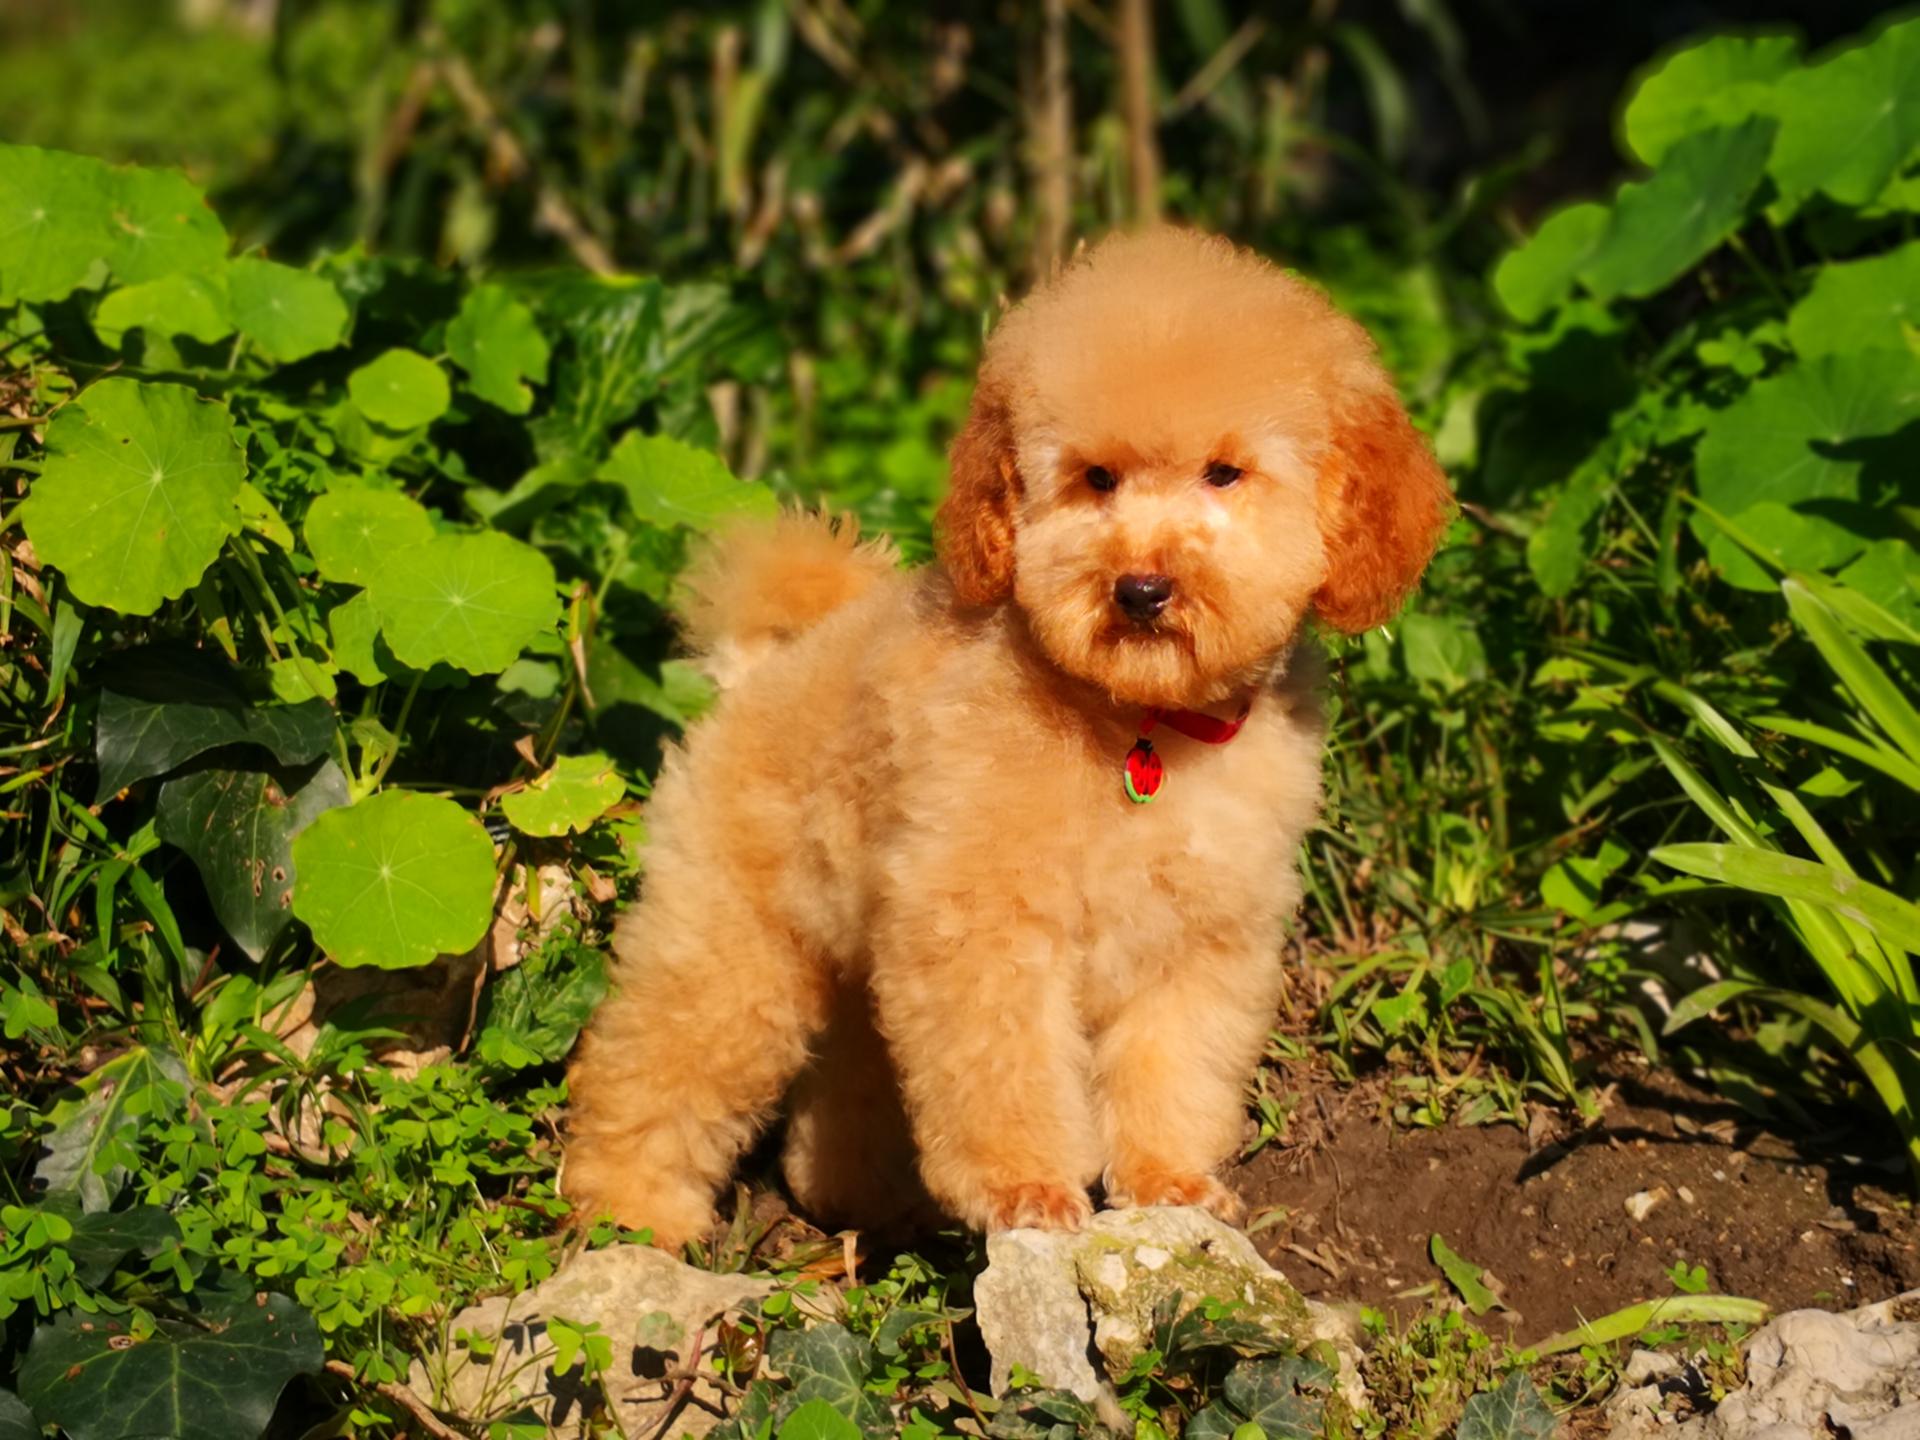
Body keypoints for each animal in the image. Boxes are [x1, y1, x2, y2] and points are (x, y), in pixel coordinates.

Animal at [560, 228, 1443, 1251]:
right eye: (1096, 479)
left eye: (1225, 474)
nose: (1140, 590)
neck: (1133, 721)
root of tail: (757, 672)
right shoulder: (983, 924)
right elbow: (1002, 1068)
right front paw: (1025, 1188)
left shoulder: (1201, 936)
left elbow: (1172, 1066)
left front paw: (1169, 1182)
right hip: (733, 942)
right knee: (656, 1062)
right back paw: (627, 1211)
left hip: (858, 953)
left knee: (850, 1076)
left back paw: (865, 1197)